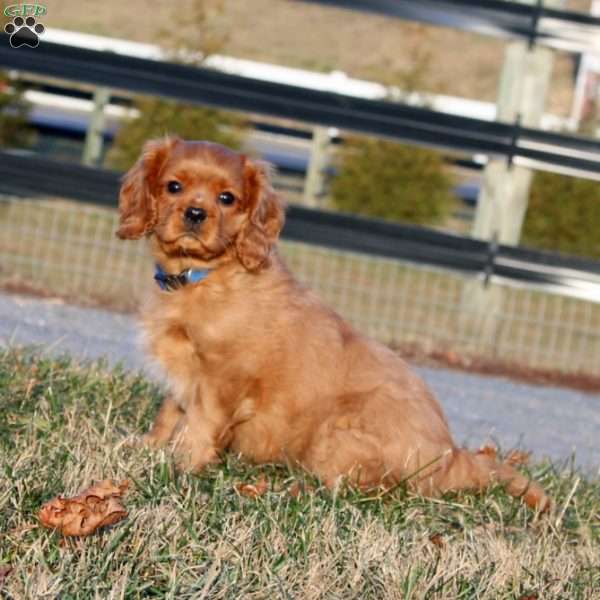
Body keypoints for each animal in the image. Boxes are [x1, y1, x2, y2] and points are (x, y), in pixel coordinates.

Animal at [116, 137, 548, 510]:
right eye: (174, 186)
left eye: (227, 198)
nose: (195, 213)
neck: (201, 276)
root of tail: (453, 457)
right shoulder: (184, 374)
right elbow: (170, 412)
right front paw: (148, 447)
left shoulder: (222, 378)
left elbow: (199, 424)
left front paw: (181, 464)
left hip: (337, 430)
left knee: (372, 490)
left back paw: (294, 489)